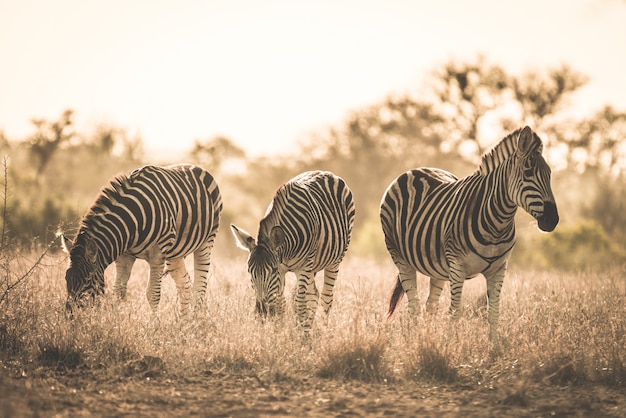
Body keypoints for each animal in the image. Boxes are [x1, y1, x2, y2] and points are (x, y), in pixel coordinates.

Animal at [61, 165, 222, 316]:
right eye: (66, 278)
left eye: (88, 279)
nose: (70, 316)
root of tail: (196, 167)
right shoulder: (125, 256)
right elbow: (118, 292)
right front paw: (115, 321)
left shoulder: (158, 254)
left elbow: (153, 294)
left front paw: (154, 325)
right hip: (175, 253)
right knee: (185, 285)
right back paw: (184, 322)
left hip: (206, 242)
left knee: (200, 287)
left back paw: (195, 322)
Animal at [230, 171, 356, 332]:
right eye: (249, 271)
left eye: (272, 270)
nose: (262, 313)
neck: (287, 250)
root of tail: (326, 173)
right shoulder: (282, 270)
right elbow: (280, 304)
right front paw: (279, 332)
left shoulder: (302, 267)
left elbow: (299, 303)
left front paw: (300, 335)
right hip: (313, 267)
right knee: (313, 295)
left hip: (333, 261)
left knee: (326, 298)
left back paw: (322, 330)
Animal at [378, 127, 560, 342]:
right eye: (528, 172)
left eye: (550, 174)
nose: (552, 220)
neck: (497, 223)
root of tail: (413, 170)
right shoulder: (457, 267)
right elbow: (455, 312)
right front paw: (451, 345)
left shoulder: (499, 269)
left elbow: (494, 311)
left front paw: (494, 346)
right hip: (401, 258)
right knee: (414, 306)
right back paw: (417, 339)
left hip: (438, 267)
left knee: (430, 305)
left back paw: (428, 338)